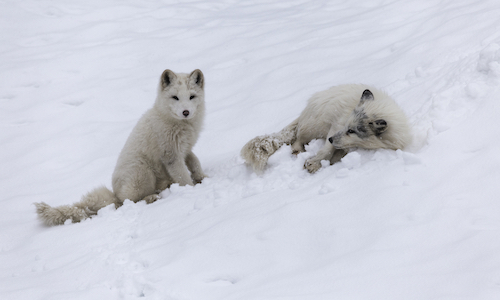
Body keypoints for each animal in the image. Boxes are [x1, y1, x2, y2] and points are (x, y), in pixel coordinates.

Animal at [35, 69, 207, 225]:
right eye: (175, 97)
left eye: (192, 96)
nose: (186, 112)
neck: (180, 124)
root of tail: (115, 194)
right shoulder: (171, 156)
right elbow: (183, 177)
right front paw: (191, 190)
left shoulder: (186, 150)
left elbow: (195, 162)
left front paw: (202, 177)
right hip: (142, 172)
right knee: (129, 201)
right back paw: (150, 198)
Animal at [241, 84, 410, 173]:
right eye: (346, 126)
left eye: (351, 131)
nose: (330, 138)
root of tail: (304, 111)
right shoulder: (336, 125)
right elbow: (326, 150)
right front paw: (315, 163)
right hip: (314, 128)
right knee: (297, 140)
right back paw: (298, 151)